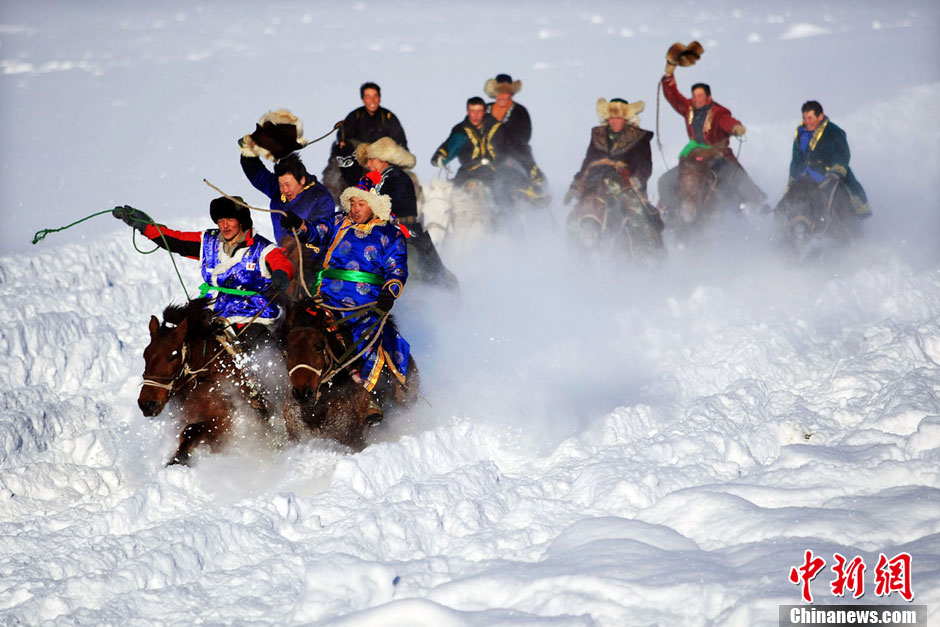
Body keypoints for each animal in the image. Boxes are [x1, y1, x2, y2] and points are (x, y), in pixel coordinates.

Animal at [138, 300, 268, 466]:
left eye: (173, 356)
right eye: (145, 355)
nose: (147, 404)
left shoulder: (225, 422)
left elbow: (192, 430)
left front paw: (176, 460)